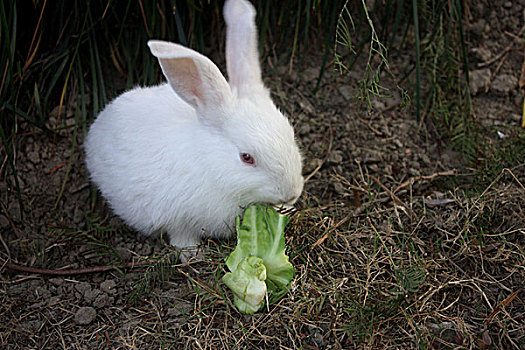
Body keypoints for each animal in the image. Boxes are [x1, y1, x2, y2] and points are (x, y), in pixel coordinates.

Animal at [83, 0, 300, 253]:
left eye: (291, 135)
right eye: (246, 157)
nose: (292, 193)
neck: (213, 165)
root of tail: (99, 122)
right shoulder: (178, 220)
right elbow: (182, 238)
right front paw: (192, 254)